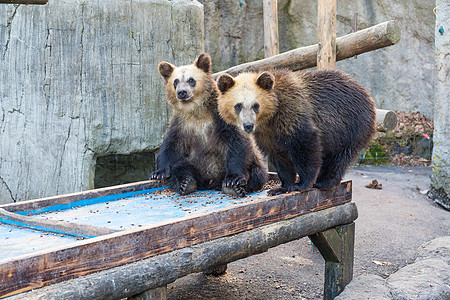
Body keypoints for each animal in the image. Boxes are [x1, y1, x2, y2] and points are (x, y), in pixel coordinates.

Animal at [217, 69, 376, 197]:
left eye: (255, 105)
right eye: (238, 105)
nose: (248, 126)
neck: (270, 116)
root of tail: (368, 95)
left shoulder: (292, 112)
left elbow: (305, 144)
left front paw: (301, 184)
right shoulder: (267, 134)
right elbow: (280, 157)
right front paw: (281, 187)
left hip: (350, 125)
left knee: (340, 157)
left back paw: (325, 181)